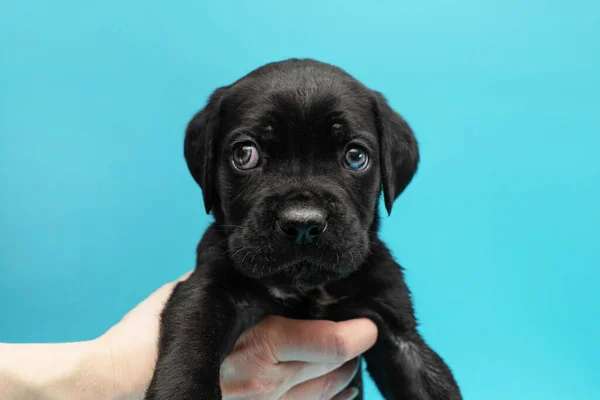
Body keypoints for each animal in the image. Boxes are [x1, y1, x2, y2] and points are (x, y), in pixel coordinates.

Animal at [146, 57, 464, 398]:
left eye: (356, 157)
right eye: (244, 154)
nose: (303, 224)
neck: (308, 287)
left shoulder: (398, 331)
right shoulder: (209, 289)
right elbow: (190, 347)